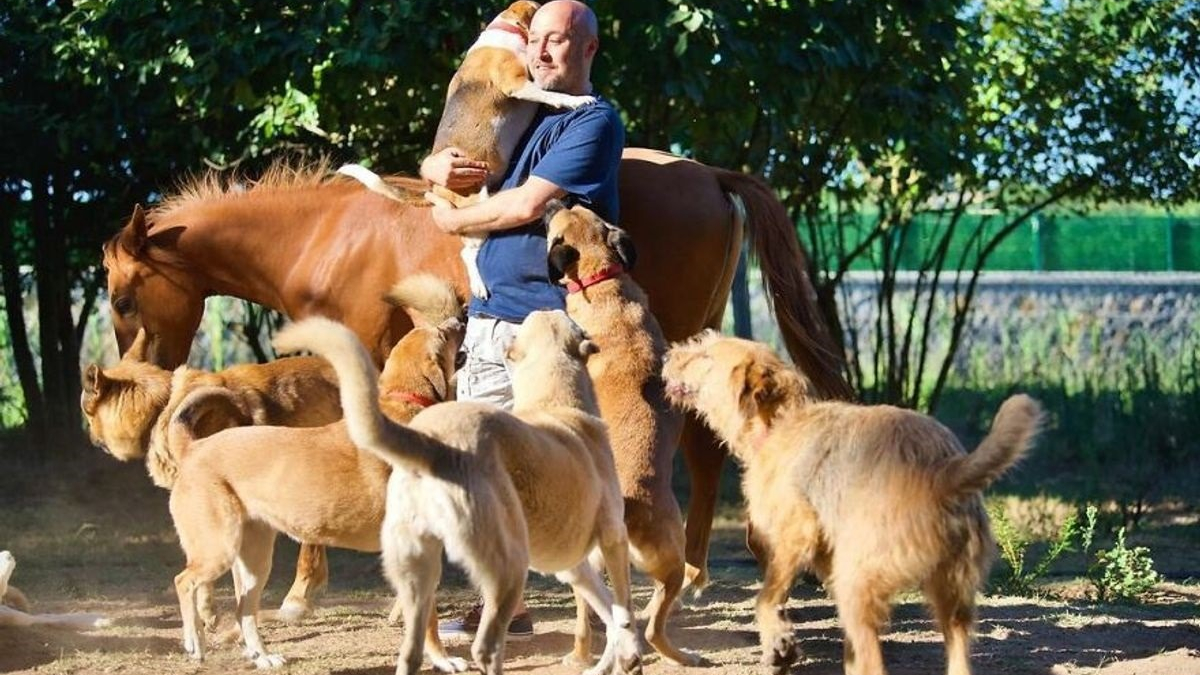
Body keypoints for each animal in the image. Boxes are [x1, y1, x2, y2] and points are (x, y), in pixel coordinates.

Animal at [105, 147, 854, 614]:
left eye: (120, 298)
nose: (145, 373)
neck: (327, 235)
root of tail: (709, 174)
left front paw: (300, 592)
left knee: (701, 449)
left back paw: (694, 572)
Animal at [276, 309, 643, 672]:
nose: (462, 315)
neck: (556, 403)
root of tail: (436, 448)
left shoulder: (575, 566)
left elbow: (611, 614)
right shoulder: (613, 538)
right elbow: (622, 607)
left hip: (421, 572)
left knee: (411, 650)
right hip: (509, 568)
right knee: (486, 647)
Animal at [544, 199, 696, 662]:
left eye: (562, 214)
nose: (554, 199)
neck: (603, 279)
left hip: (647, 563)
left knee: (635, 624)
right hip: (658, 563)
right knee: (639, 623)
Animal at [662, 331, 1046, 672]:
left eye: (706, 356)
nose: (667, 354)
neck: (781, 423)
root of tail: (941, 473)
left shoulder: (794, 537)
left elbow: (767, 598)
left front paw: (779, 645)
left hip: (858, 584)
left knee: (874, 661)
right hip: (952, 597)